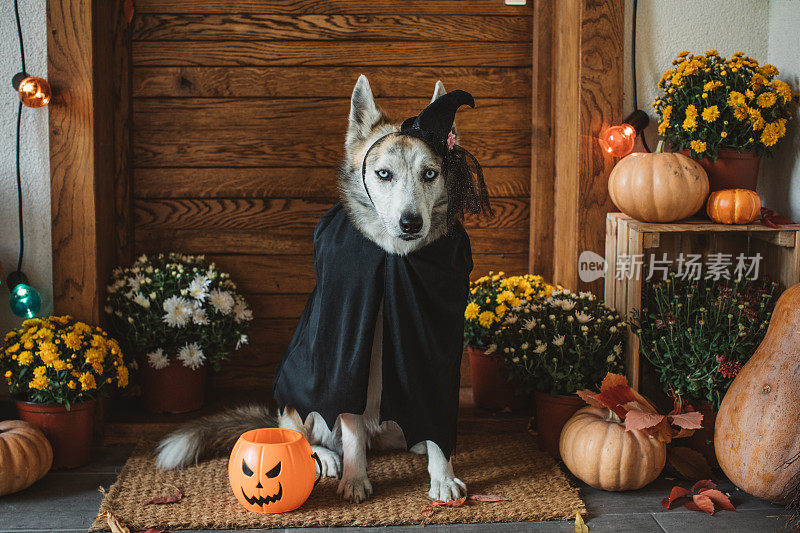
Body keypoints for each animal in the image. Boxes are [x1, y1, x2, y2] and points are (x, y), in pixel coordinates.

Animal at [154, 76, 472, 502]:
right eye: (383, 174)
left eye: (430, 174)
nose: (411, 223)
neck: (394, 262)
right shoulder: (344, 357)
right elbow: (348, 425)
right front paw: (354, 479)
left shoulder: (434, 352)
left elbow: (436, 423)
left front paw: (441, 475)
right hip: (296, 400)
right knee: (301, 434)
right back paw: (325, 457)